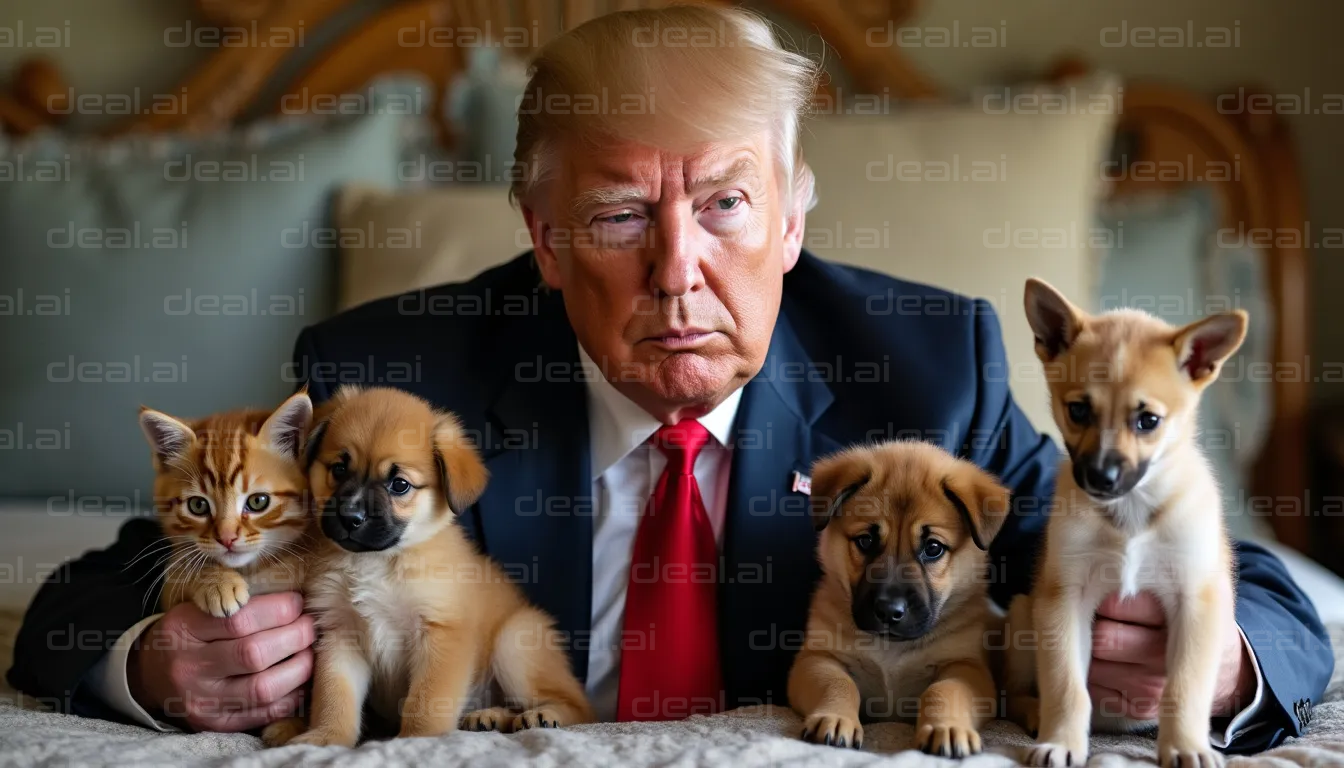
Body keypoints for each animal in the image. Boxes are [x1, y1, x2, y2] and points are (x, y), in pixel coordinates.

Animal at [139, 390, 314, 618]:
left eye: (258, 501)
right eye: (198, 505)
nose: (227, 538)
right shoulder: (169, 593)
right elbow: (183, 566)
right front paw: (216, 581)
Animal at [784, 441, 1010, 758]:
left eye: (933, 548)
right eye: (866, 541)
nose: (889, 611)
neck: (891, 649)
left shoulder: (967, 667)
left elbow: (944, 690)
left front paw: (947, 728)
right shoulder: (818, 658)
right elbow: (838, 683)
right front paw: (836, 718)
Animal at [1016, 279, 1247, 768]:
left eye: (1148, 421)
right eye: (1078, 411)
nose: (1099, 478)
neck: (1131, 516)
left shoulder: (1196, 600)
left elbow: (1183, 688)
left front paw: (1186, 745)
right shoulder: (1062, 599)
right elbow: (1066, 686)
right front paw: (1061, 741)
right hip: (1022, 616)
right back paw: (1033, 714)